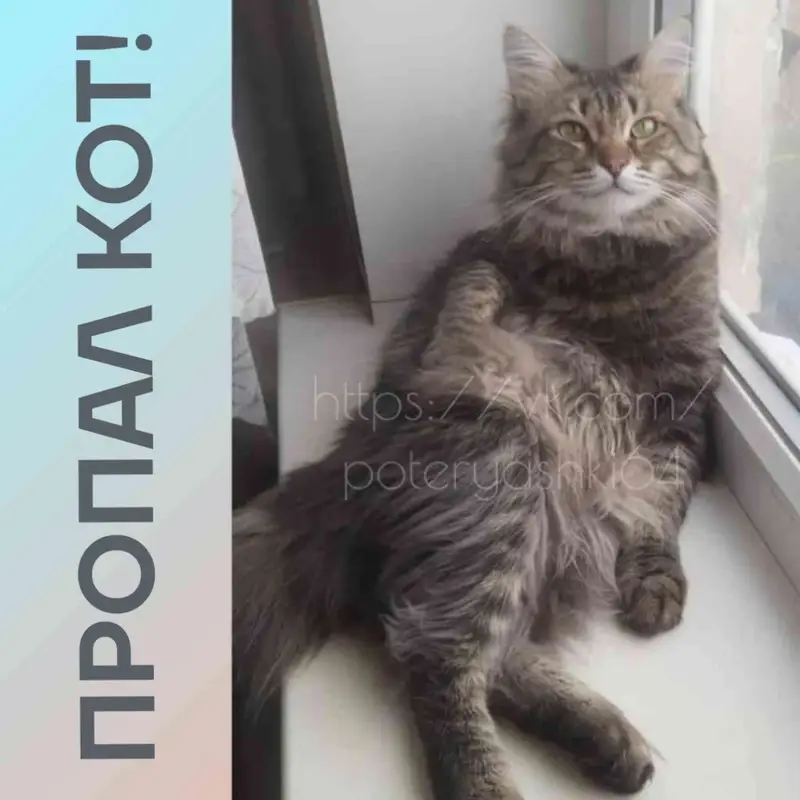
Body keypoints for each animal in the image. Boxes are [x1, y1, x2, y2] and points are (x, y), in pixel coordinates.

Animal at [234, 19, 720, 798]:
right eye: (573, 131)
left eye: (643, 128)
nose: (616, 164)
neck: (613, 264)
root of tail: (344, 466)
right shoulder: (481, 290)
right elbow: (474, 297)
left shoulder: (683, 412)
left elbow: (660, 511)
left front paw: (652, 583)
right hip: (507, 469)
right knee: (437, 656)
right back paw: (491, 781)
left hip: (524, 522)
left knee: (477, 645)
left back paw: (606, 742)